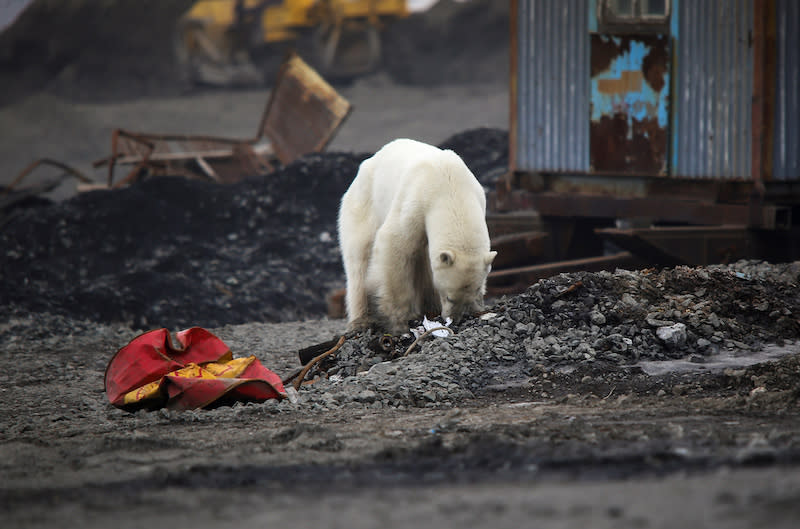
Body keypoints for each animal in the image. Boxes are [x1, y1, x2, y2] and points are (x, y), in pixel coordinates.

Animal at [336, 138, 494, 332]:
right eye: (450, 297)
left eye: (473, 292)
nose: (454, 319)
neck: (450, 185)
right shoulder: (416, 199)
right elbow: (394, 244)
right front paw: (399, 319)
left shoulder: (478, 196)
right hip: (363, 204)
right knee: (359, 258)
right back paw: (362, 320)